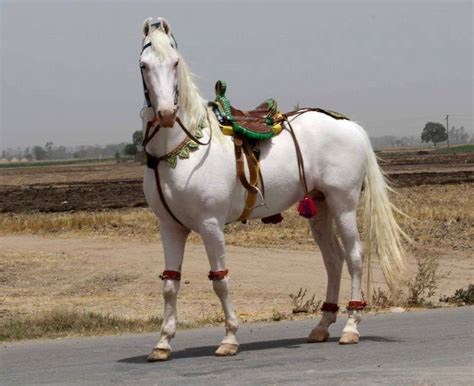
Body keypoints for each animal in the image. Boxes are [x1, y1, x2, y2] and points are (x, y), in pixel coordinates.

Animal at [139, 17, 406, 362]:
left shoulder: (210, 225)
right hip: (319, 205)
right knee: (333, 260)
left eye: (175, 62)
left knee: (355, 256)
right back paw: (322, 325)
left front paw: (229, 338)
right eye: (144, 65)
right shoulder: (170, 227)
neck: (181, 149)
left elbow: (220, 280)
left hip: (343, 203)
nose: (166, 114)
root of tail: (350, 125)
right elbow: (170, 284)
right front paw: (162, 343)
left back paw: (351, 327)